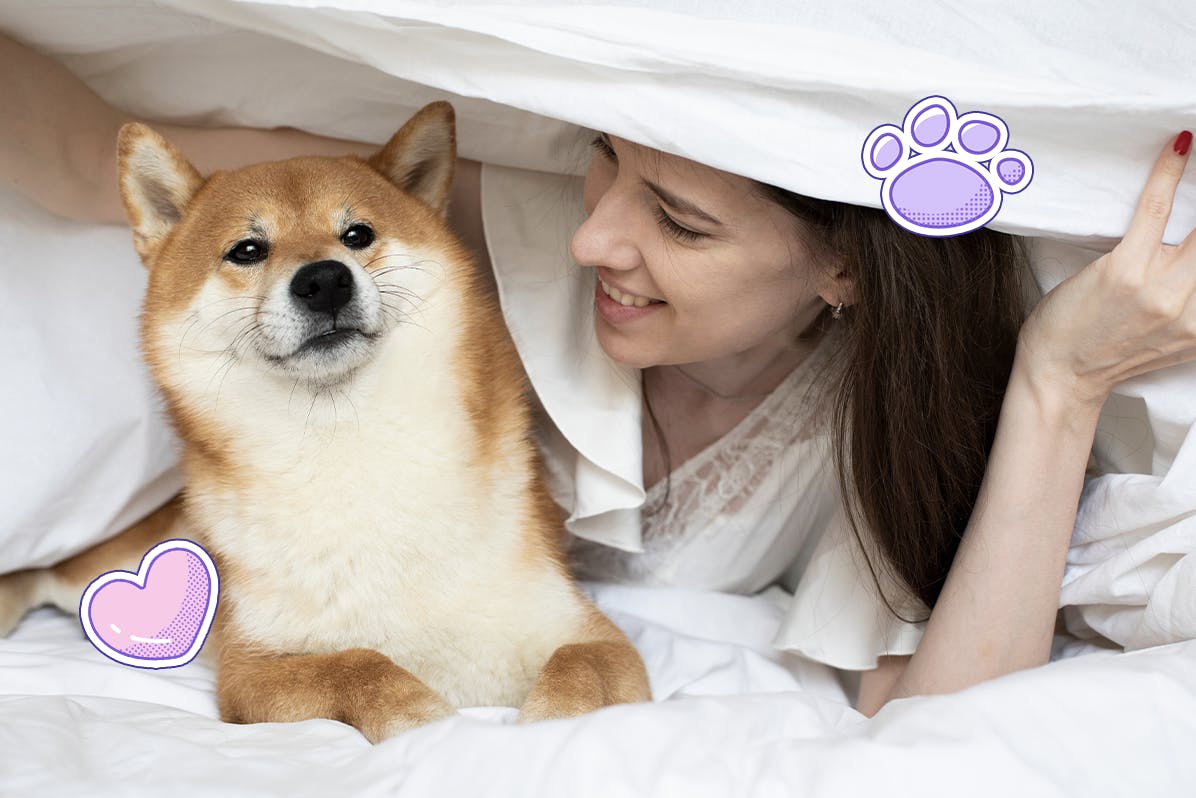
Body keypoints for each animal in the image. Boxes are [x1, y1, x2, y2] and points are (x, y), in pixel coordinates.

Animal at [0, 101, 650, 741]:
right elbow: (360, 665)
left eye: (357, 235)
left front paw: (546, 728)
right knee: (46, 571)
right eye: (248, 249)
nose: (324, 279)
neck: (348, 451)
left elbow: (580, 670)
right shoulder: (254, 666)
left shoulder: (582, 629)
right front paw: (428, 722)